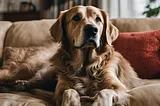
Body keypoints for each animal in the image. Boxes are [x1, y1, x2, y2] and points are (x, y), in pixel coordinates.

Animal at [0, 5, 159, 105]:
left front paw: (97, 102)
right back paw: (17, 84)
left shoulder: (120, 88)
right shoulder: (60, 90)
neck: (85, 66)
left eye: (98, 19)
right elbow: (70, 91)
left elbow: (104, 92)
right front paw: (72, 102)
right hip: (46, 72)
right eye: (76, 18)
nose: (92, 29)